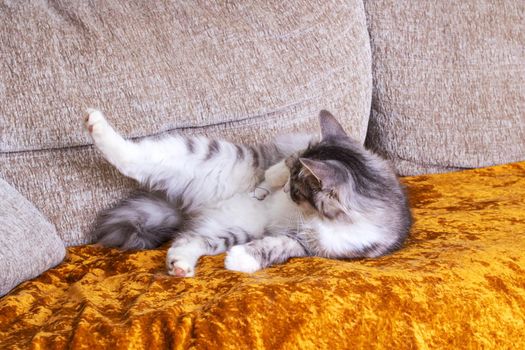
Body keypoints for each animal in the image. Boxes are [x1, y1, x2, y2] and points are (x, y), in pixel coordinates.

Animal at [85, 108, 410, 278]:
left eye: (299, 189)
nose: (287, 191)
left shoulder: (316, 245)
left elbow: (277, 246)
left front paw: (240, 260)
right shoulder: (298, 146)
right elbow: (284, 161)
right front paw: (269, 182)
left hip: (232, 229)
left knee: (188, 240)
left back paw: (181, 264)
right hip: (211, 156)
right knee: (135, 158)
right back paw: (97, 126)